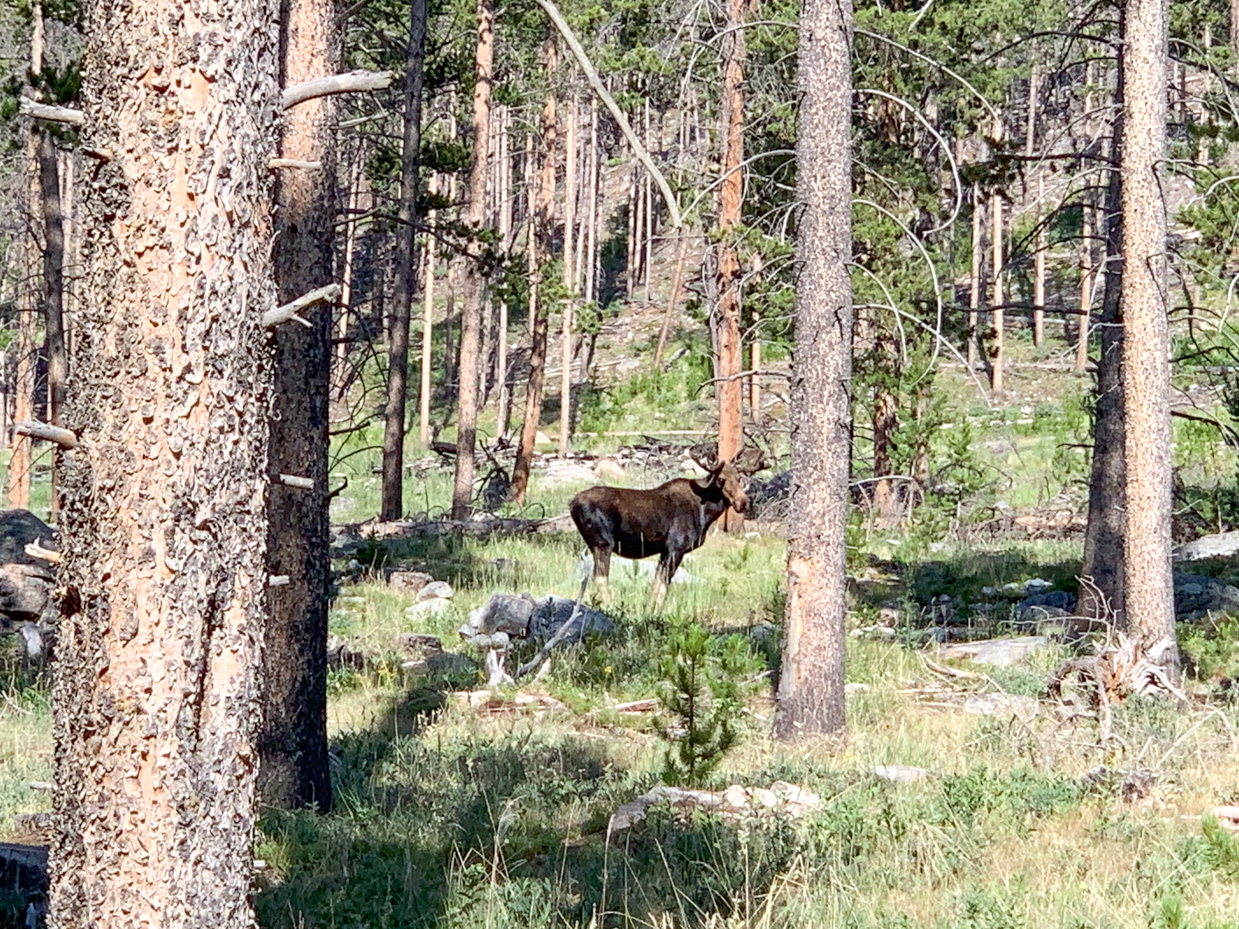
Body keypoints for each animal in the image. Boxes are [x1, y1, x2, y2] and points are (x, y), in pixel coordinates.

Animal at [567, 448, 753, 611]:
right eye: (721, 480)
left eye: (739, 478)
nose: (743, 502)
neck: (705, 512)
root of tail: (572, 503)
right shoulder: (676, 548)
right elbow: (664, 585)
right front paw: (656, 613)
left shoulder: (665, 551)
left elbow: (656, 584)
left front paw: (650, 611)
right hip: (604, 543)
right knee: (600, 577)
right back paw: (612, 609)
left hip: (594, 544)